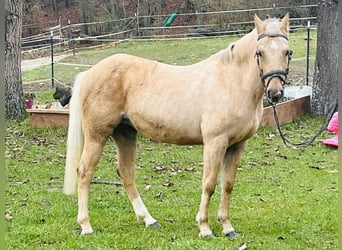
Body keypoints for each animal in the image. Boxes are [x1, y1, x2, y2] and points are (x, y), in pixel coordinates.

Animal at [63, 14, 292, 238]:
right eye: (259, 52)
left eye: (287, 52)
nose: (275, 93)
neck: (231, 82)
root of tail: (89, 73)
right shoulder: (215, 142)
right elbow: (209, 184)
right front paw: (205, 228)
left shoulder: (237, 145)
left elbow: (227, 185)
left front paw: (227, 227)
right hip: (97, 136)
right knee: (84, 172)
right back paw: (86, 226)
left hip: (125, 133)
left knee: (126, 173)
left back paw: (149, 220)